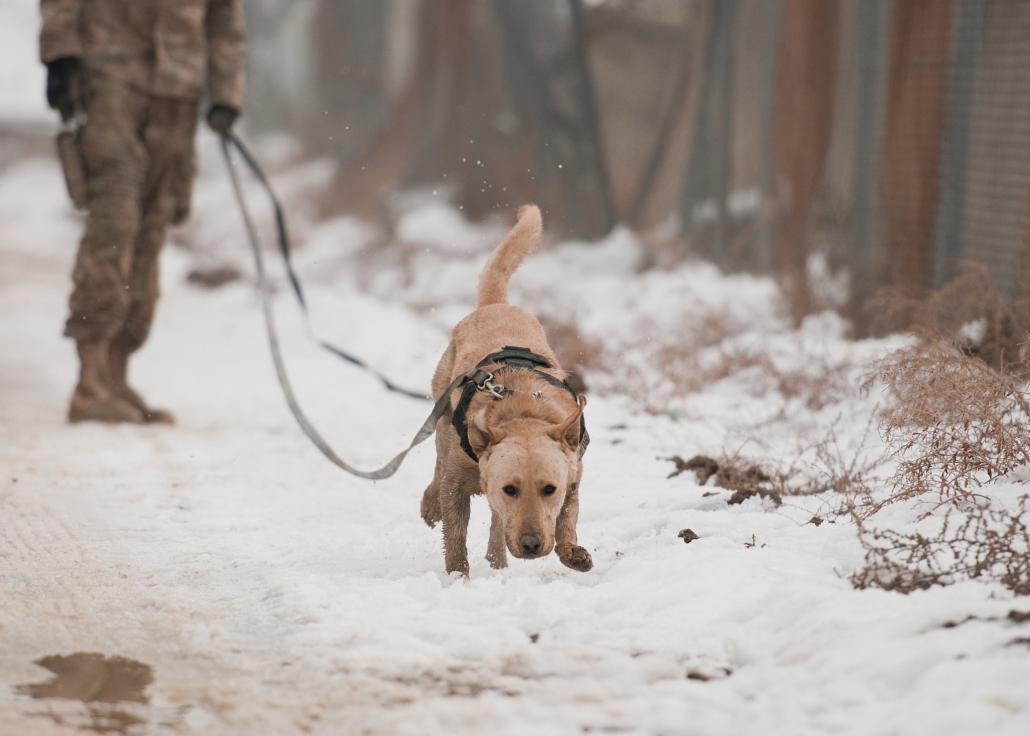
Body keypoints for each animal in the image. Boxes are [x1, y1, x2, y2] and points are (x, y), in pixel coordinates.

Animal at [420, 204, 597, 580]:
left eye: (549, 489)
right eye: (510, 488)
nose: (531, 544)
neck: (522, 410)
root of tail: (495, 305)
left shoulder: (573, 473)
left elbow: (566, 517)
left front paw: (572, 552)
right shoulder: (457, 485)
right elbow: (455, 534)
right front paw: (458, 578)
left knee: (496, 522)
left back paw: (497, 560)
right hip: (441, 416)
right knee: (438, 467)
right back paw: (431, 506)